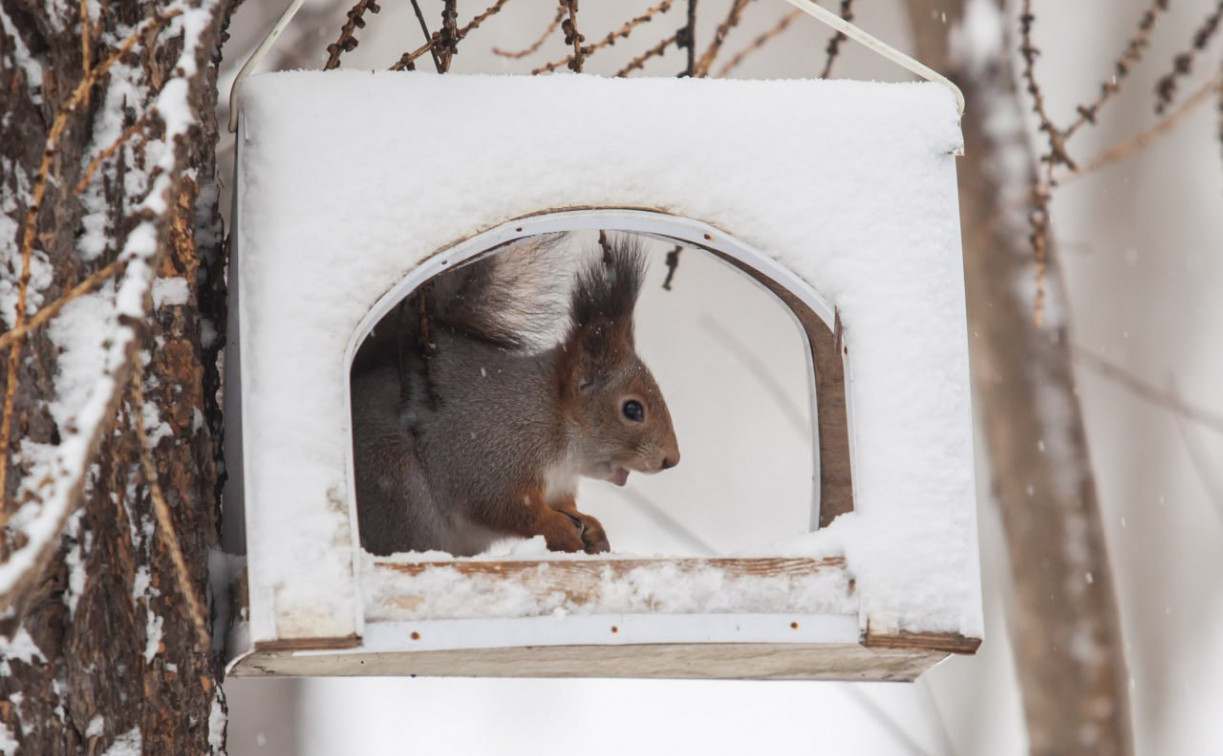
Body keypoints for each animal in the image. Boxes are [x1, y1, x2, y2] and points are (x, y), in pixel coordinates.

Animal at [349, 232, 684, 555]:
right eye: (632, 409)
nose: (672, 460)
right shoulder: (494, 450)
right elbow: (505, 506)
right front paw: (559, 530)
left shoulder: (558, 485)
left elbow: (564, 506)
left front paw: (592, 528)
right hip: (399, 487)